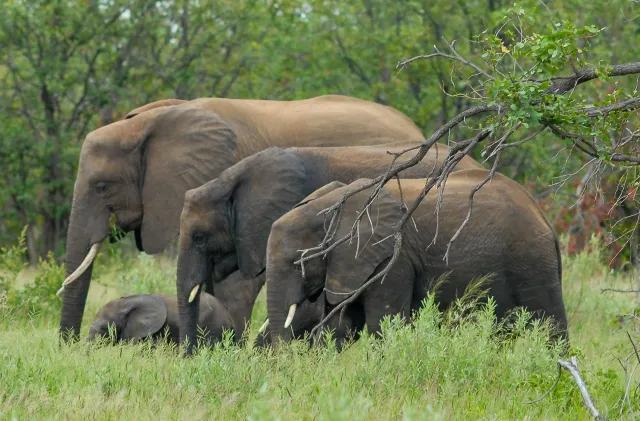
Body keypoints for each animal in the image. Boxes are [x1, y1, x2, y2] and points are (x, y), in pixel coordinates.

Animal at [264, 169, 568, 346]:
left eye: (298, 264)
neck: (334, 203)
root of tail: (544, 218)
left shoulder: (393, 260)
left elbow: (384, 322)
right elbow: (341, 325)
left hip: (531, 261)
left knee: (550, 324)